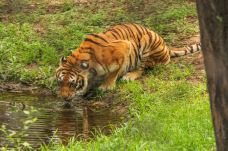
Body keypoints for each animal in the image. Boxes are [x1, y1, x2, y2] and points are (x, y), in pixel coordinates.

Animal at [55, 23, 201, 101]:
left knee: (142, 68)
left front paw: (106, 86)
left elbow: (114, 71)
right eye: (60, 82)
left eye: (72, 84)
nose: (64, 98)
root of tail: (166, 46)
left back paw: (129, 76)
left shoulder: (124, 46)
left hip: (146, 41)